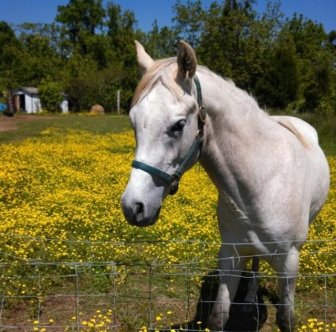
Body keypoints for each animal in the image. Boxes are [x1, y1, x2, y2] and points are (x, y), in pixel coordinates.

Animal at [122, 40, 330, 330]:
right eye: (132, 120)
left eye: (179, 125)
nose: (133, 207)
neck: (262, 181)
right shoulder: (230, 255)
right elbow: (218, 316)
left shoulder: (289, 261)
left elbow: (286, 318)